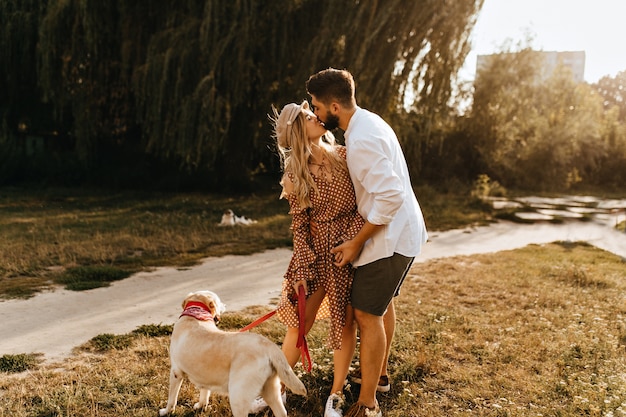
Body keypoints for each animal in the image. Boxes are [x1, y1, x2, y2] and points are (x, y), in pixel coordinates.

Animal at [158, 290, 304, 416]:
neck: (196, 316)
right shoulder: (204, 376)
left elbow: (172, 398)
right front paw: (201, 406)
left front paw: (166, 411)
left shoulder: (175, 372)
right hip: (270, 390)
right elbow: (204, 392)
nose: (225, 305)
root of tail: (268, 345)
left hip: (238, 396)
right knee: (281, 411)